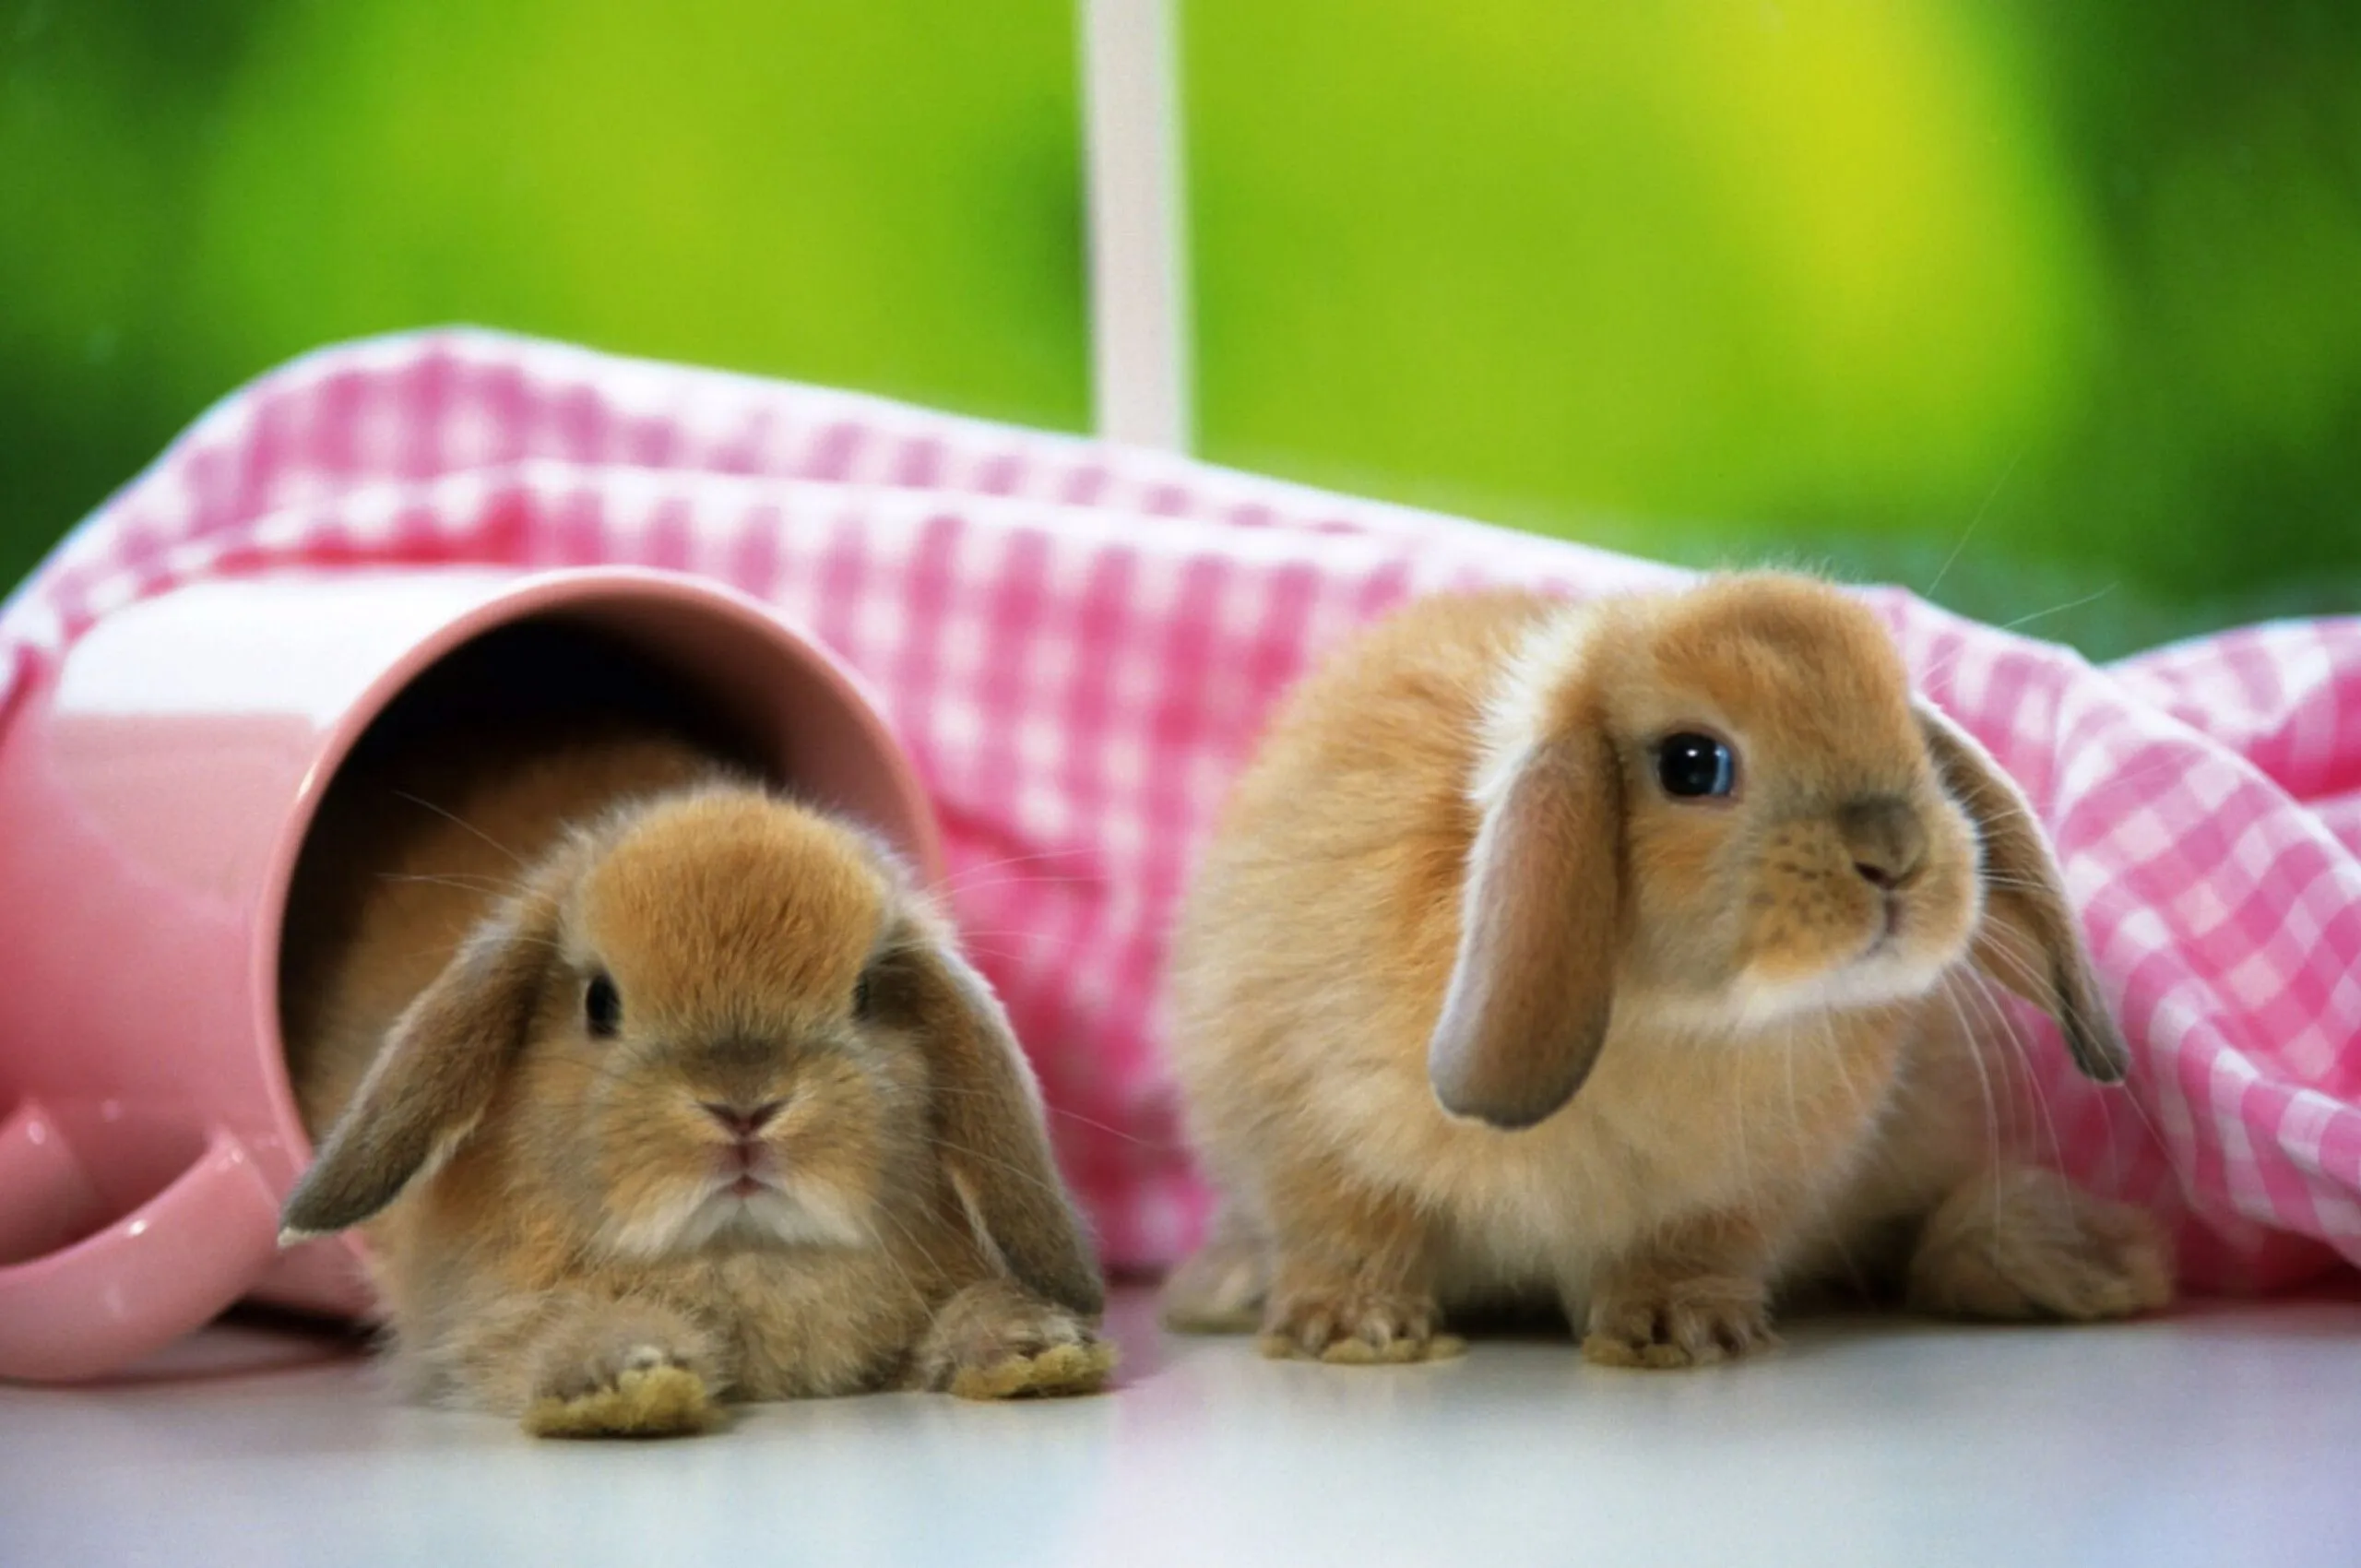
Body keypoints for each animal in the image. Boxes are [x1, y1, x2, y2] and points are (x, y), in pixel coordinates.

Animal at [276, 723, 1112, 1436]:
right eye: (599, 1003)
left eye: (866, 994)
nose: (744, 1107)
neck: (743, 1252)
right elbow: (550, 1336)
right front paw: (626, 1379)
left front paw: (1035, 1347)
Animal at [1160, 572, 2172, 1368]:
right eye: (1692, 763)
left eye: (1911, 742)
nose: (1896, 852)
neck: (1672, 1021)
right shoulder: (1305, 1133)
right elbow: (1347, 1231)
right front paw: (1353, 1327)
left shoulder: (1744, 1195)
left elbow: (1692, 1248)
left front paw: (1680, 1329)